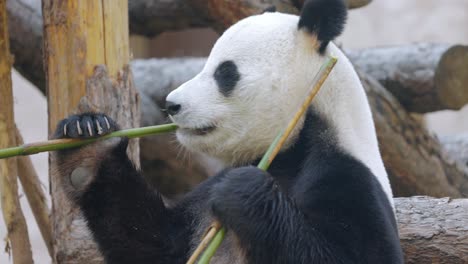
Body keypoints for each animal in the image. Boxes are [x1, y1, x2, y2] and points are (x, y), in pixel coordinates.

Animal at [51, 0, 402, 262]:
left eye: (225, 73)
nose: (171, 104)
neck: (295, 143)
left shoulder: (349, 179)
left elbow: (355, 255)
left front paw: (244, 191)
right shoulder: (204, 199)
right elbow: (154, 246)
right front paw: (87, 142)